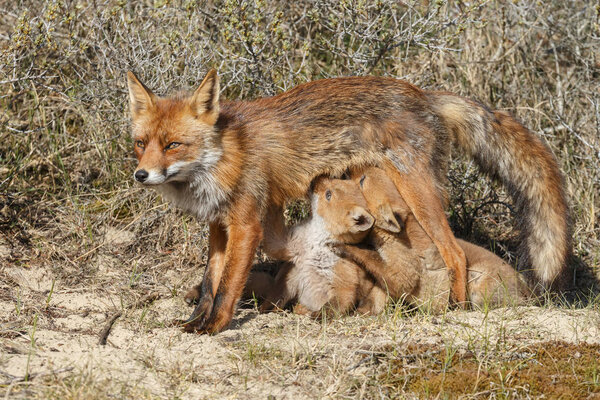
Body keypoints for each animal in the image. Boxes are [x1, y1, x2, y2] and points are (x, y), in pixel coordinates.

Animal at [127, 70, 572, 332]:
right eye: (141, 144)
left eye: (173, 145)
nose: (141, 175)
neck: (222, 157)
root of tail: (424, 94)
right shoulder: (218, 227)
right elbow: (208, 283)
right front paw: (193, 324)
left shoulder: (247, 223)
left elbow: (227, 288)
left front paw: (214, 327)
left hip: (419, 194)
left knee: (455, 254)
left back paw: (455, 309)